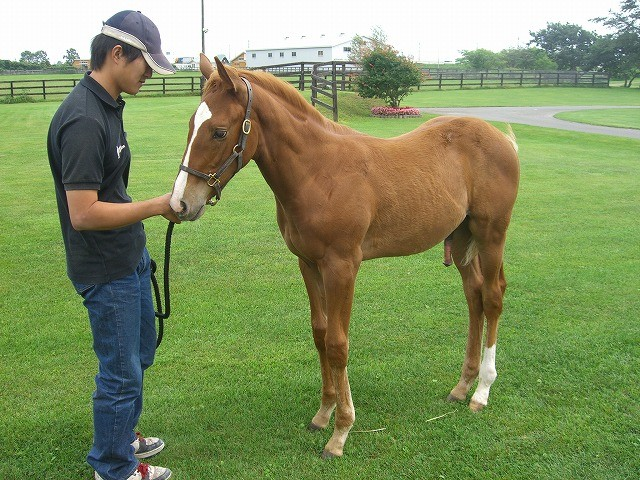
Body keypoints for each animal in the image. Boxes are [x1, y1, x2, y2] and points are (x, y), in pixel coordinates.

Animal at [170, 54, 520, 458]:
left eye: (219, 132)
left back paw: (482, 390)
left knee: (492, 297)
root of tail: (503, 139)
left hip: (491, 234)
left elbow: (338, 343)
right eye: (190, 125)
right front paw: (324, 413)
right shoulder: (308, 264)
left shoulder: (343, 267)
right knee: (474, 296)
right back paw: (462, 386)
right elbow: (320, 334)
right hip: (462, 239)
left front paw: (341, 432)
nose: (180, 204)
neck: (319, 172)